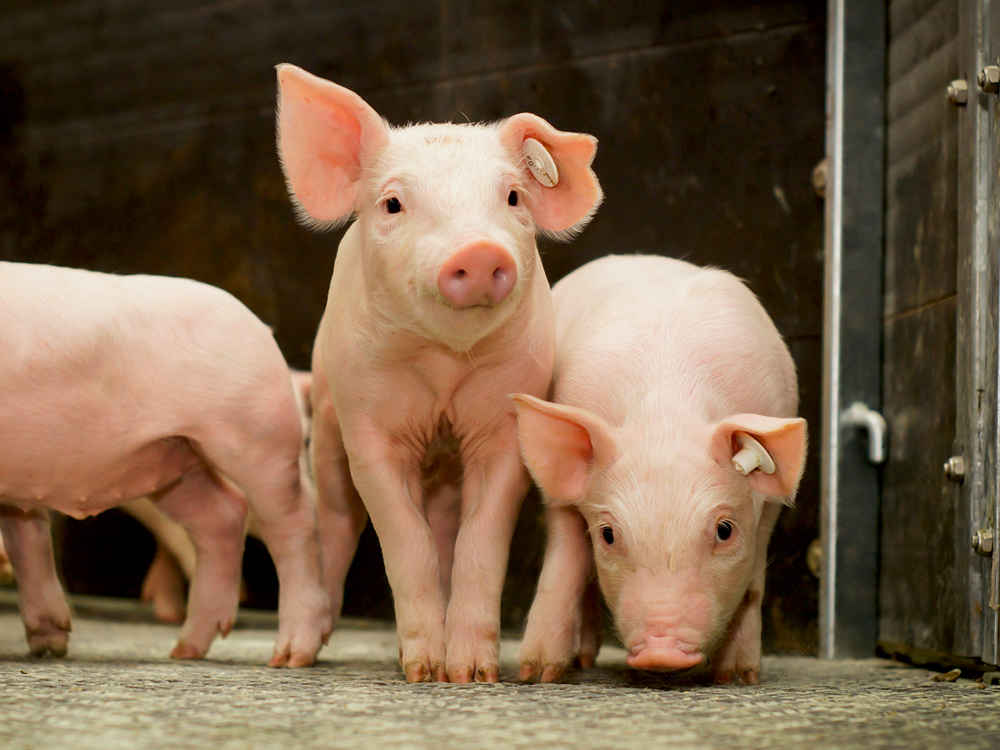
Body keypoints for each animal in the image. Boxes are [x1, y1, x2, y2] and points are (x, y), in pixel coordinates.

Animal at [0, 262, 331, 666]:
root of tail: (260, 327)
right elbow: (25, 538)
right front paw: (49, 646)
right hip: (176, 463)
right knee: (223, 516)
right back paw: (185, 650)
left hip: (259, 437)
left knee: (296, 523)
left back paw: (290, 656)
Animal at [275, 64, 602, 682]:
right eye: (393, 203)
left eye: (513, 196)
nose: (477, 252)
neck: (444, 367)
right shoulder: (368, 429)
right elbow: (405, 541)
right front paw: (423, 671)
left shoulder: (503, 428)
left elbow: (480, 543)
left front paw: (471, 675)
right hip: (326, 427)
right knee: (335, 525)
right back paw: (294, 656)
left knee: (448, 532)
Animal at [512, 255, 807, 684]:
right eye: (608, 535)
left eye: (725, 530)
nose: (661, 652)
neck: (666, 417)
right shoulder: (559, 501)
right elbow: (564, 568)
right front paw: (536, 675)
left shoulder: (767, 510)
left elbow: (753, 588)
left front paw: (737, 677)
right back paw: (581, 662)